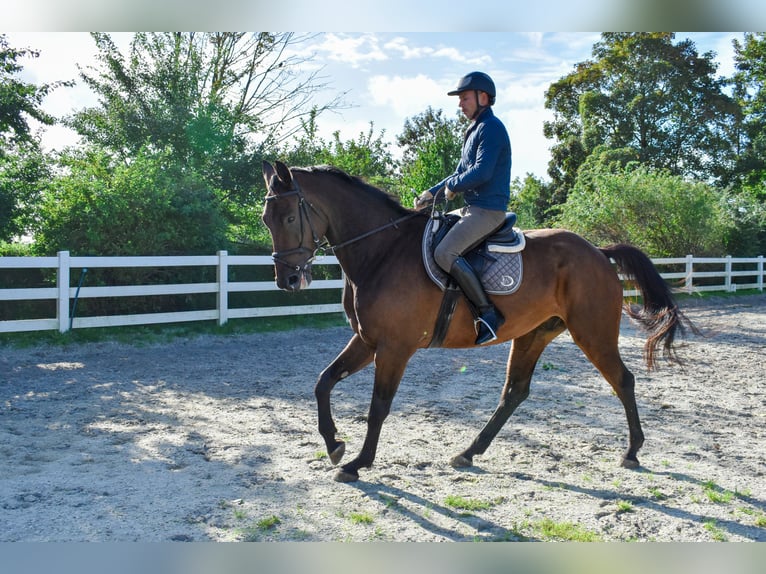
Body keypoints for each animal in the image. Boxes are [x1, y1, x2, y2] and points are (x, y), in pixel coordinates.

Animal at [261, 160, 693, 483]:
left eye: (288, 217)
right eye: (266, 218)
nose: (287, 280)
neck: (381, 251)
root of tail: (598, 252)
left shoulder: (394, 348)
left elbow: (378, 406)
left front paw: (356, 463)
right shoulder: (367, 341)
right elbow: (323, 382)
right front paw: (334, 445)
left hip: (593, 333)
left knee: (623, 380)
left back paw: (632, 451)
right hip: (533, 334)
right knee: (514, 392)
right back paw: (469, 452)